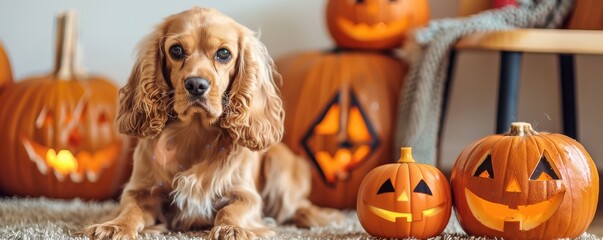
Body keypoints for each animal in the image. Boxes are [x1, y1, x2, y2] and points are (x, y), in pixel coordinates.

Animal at [82, 6, 342, 239]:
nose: (196, 84)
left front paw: (231, 229)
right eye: (176, 50)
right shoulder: (140, 190)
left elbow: (229, 211)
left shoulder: (245, 194)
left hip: (280, 165)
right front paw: (114, 226)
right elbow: (130, 209)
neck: (194, 131)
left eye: (223, 53)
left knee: (298, 206)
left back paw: (317, 217)